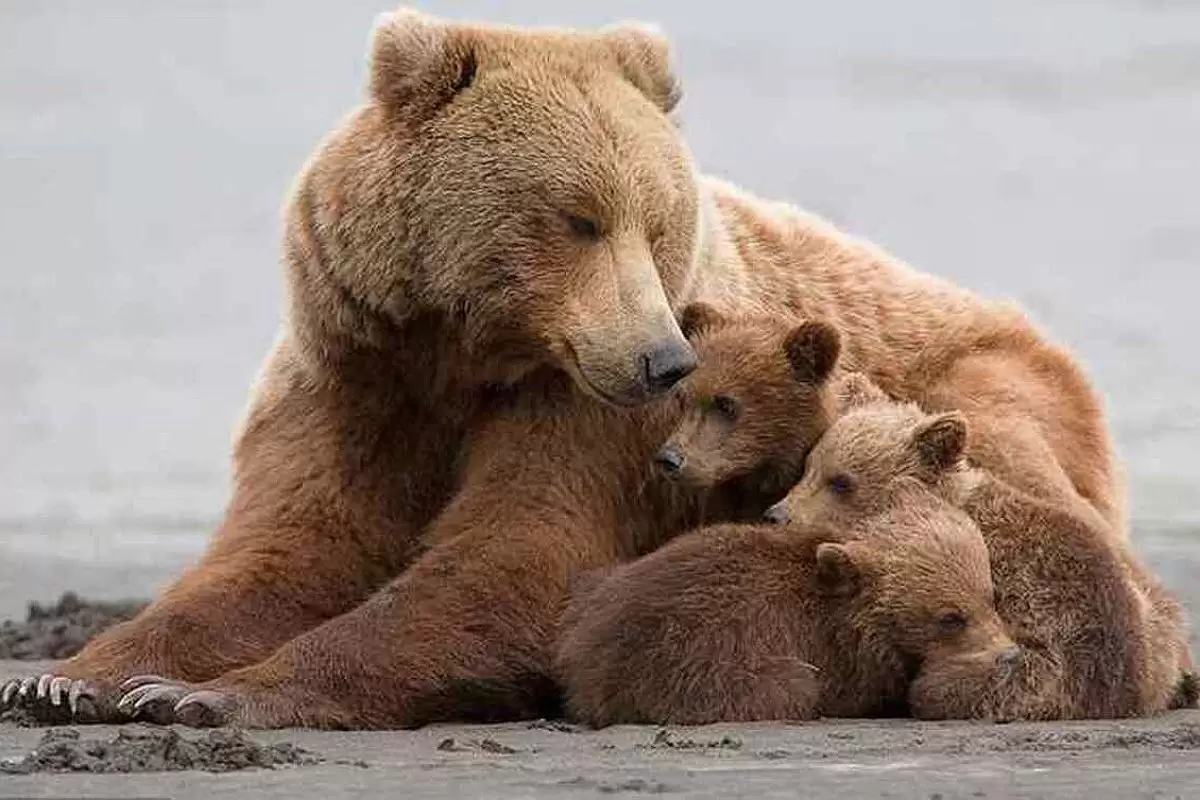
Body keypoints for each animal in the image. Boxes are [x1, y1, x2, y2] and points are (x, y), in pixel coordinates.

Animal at [4, 7, 1118, 734]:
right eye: (579, 217)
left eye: (655, 220)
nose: (664, 357)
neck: (462, 358)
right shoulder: (354, 373)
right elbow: (290, 547)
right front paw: (75, 676)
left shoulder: (584, 415)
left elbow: (520, 555)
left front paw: (220, 693)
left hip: (983, 394)